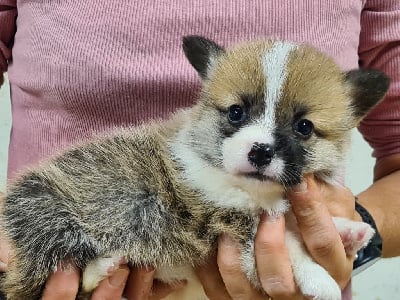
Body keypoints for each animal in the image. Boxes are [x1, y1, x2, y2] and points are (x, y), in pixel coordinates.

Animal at [0, 35, 388, 300]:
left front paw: (349, 230)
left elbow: (294, 221)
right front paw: (319, 278)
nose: (260, 152)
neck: (252, 190)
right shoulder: (225, 219)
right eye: (236, 112)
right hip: (49, 217)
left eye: (304, 127)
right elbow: (291, 245)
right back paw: (102, 266)